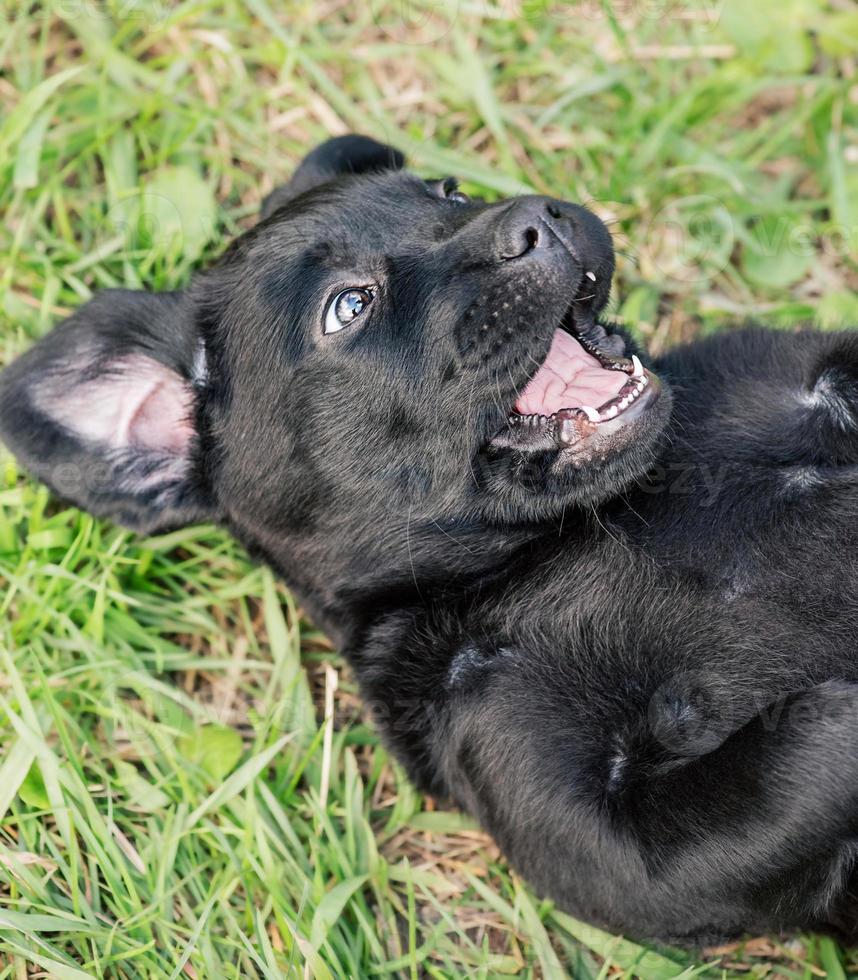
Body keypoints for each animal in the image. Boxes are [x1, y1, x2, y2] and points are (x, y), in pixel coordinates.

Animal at [1, 134, 856, 944]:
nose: (538, 217)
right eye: (350, 305)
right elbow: (792, 763)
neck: (562, 537)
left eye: (448, 193)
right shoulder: (607, 840)